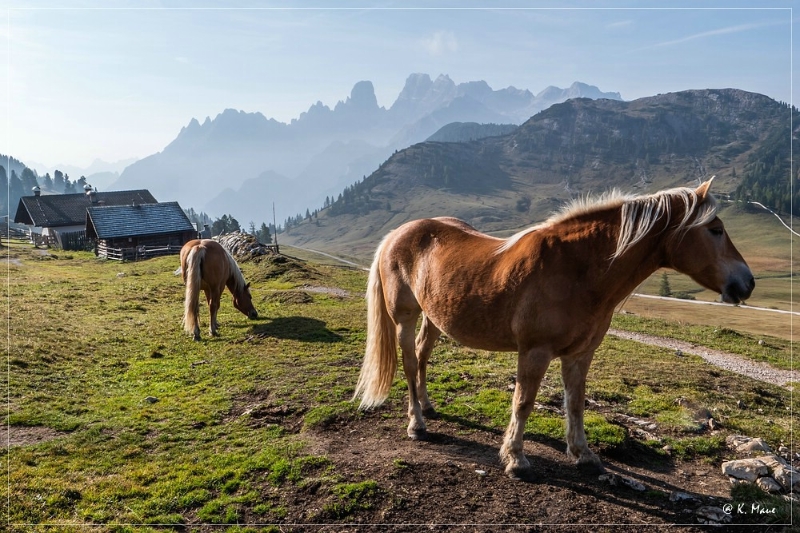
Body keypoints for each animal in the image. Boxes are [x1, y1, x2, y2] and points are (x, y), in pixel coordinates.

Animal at [354, 180, 752, 478]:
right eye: (716, 230)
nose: (746, 283)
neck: (576, 268)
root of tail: (398, 233)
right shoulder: (535, 352)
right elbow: (524, 402)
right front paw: (516, 459)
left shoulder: (580, 354)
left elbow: (575, 402)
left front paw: (583, 454)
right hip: (405, 317)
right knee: (409, 364)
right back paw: (417, 423)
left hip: (435, 317)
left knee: (422, 356)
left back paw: (428, 405)